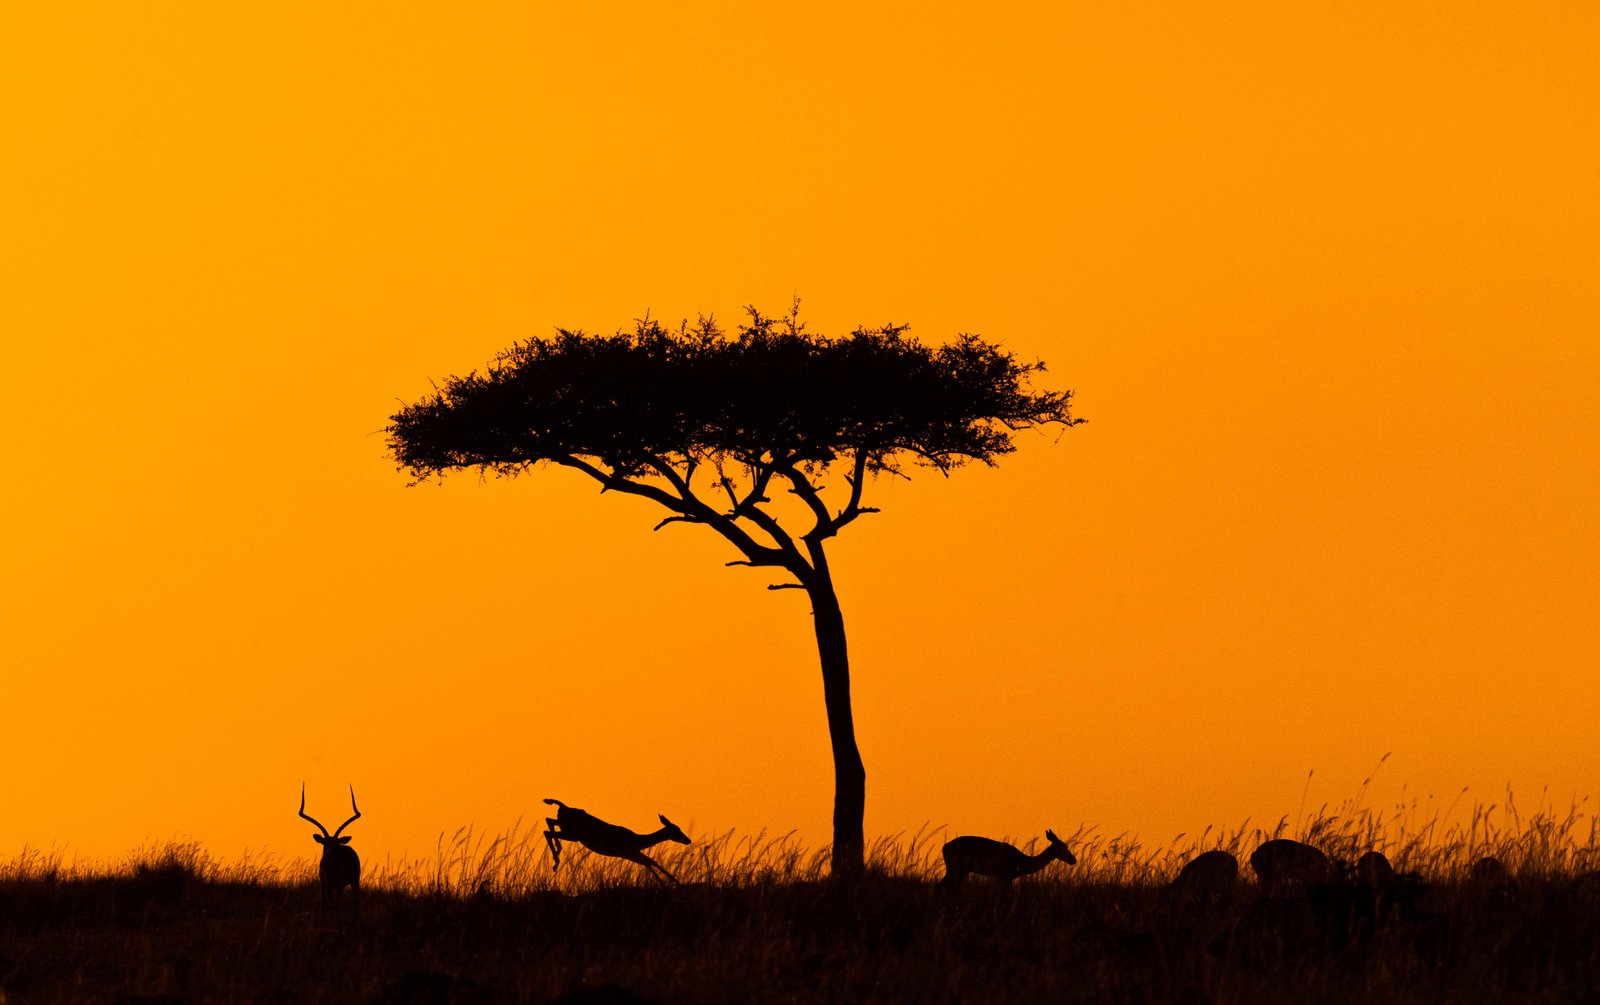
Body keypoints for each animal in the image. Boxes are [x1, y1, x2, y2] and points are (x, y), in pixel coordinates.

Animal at [298, 783, 362, 913]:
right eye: (325, 843)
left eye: (337, 844)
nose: (331, 852)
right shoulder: (325, 885)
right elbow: (325, 904)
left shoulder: (337, 885)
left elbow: (335, 905)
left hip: (353, 882)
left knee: (353, 902)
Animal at [542, 798, 691, 884]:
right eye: (676, 829)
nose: (688, 840)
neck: (638, 839)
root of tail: (563, 807)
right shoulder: (628, 852)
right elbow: (649, 862)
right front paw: (670, 882)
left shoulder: (630, 854)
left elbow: (650, 862)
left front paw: (672, 881)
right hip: (572, 834)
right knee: (548, 831)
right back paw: (556, 860)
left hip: (568, 831)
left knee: (548, 823)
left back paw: (557, 856)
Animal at [939, 830, 1077, 887]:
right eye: (1063, 846)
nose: (1073, 860)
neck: (1023, 861)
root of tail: (944, 846)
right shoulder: (1006, 876)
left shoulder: (1002, 878)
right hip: (957, 869)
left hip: (959, 870)